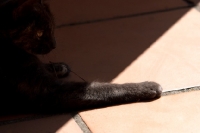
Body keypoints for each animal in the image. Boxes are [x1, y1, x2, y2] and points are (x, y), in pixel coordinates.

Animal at [0, 0, 162, 114]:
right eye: (39, 33)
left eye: (52, 26)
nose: (54, 44)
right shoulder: (50, 91)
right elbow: (106, 89)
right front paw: (146, 87)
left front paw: (58, 66)